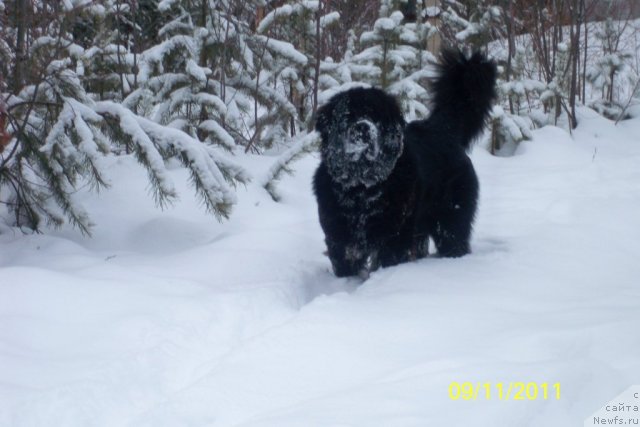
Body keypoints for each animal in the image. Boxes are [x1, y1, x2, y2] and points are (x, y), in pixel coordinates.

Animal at [312, 49, 498, 278]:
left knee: (454, 238)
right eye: (347, 116)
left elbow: (388, 259)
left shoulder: (395, 235)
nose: (363, 127)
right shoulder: (339, 238)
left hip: (450, 218)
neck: (362, 189)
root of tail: (442, 129)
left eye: (376, 117)